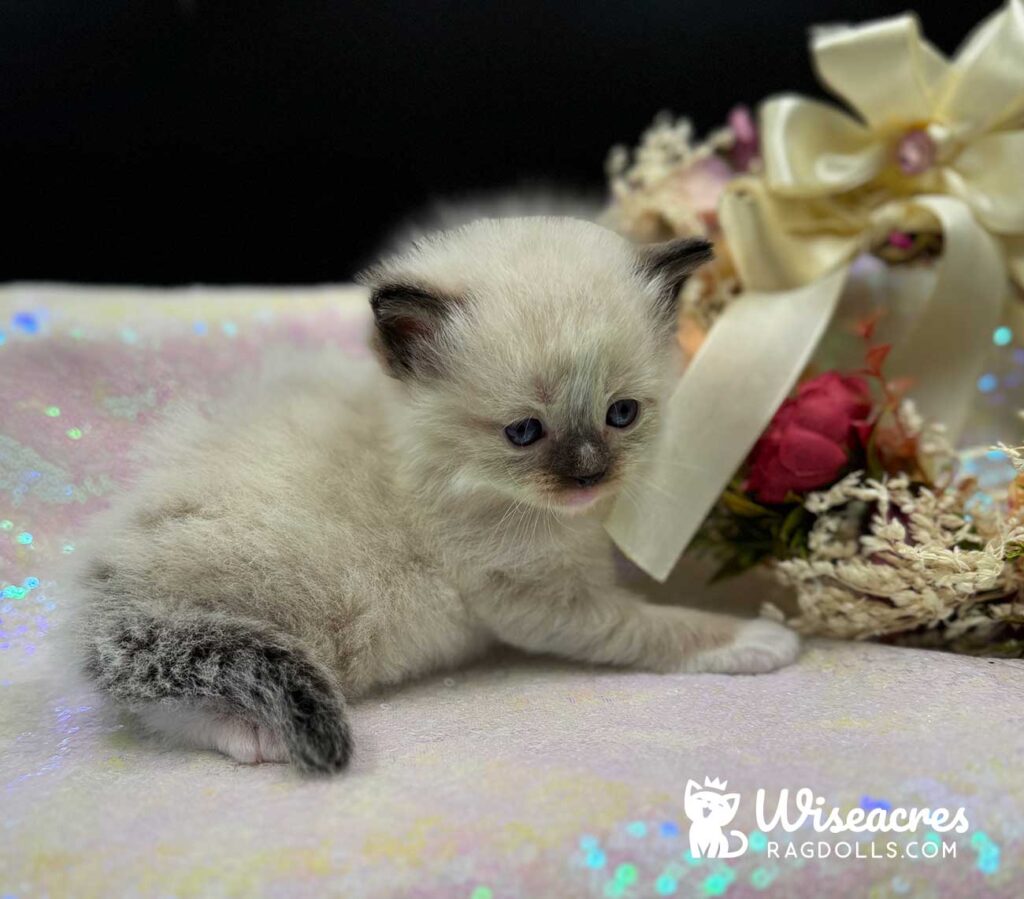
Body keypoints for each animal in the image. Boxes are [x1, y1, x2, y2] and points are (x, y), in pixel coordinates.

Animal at [74, 216, 798, 774]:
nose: (590, 476)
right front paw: (756, 637)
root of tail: (100, 599)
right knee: (167, 699)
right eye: (523, 432)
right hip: (263, 621)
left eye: (622, 414)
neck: (435, 468)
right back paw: (254, 735)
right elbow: (653, 626)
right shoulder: (540, 601)